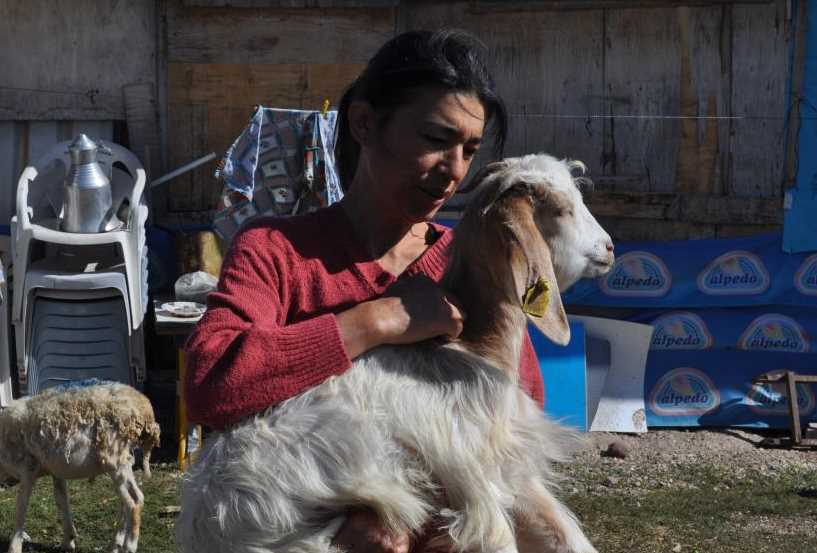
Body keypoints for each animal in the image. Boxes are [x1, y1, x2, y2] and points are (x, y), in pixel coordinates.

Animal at [0, 382, 161, 552]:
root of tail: (144, 409)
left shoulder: (27, 470)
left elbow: (21, 510)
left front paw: (14, 546)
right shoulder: (56, 471)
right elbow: (62, 501)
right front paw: (68, 540)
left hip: (116, 459)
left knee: (135, 500)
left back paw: (129, 545)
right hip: (123, 459)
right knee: (125, 502)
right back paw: (114, 545)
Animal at [177, 152, 612, 552]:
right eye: (562, 210)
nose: (608, 247)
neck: (476, 348)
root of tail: (207, 521)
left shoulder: (515, 473)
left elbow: (565, 535)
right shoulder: (476, 483)